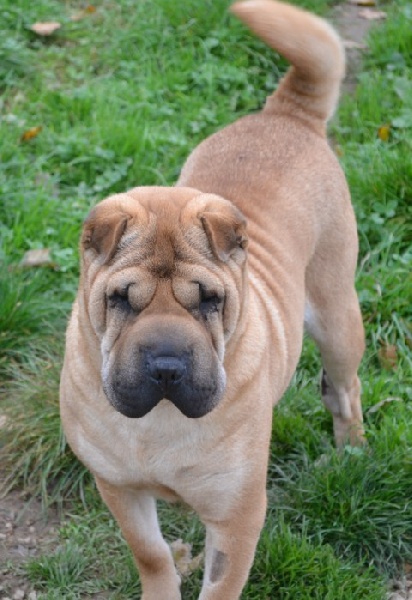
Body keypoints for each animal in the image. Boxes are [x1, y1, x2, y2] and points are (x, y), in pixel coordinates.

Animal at [60, 2, 364, 596]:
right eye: (121, 299)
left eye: (209, 300)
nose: (166, 365)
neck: (159, 422)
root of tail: (287, 114)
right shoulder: (119, 487)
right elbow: (152, 553)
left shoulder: (237, 514)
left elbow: (220, 584)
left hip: (339, 314)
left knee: (345, 389)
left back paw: (353, 455)